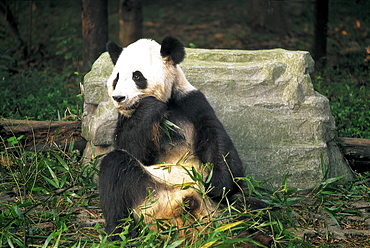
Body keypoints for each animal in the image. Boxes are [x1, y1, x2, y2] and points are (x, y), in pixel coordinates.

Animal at [98, 36, 264, 240]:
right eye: (116, 78)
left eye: (137, 76)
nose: (119, 97)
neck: (167, 100)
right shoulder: (126, 118)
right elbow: (130, 147)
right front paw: (150, 106)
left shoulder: (191, 101)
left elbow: (216, 141)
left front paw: (218, 186)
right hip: (146, 194)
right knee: (115, 167)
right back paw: (119, 234)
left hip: (219, 208)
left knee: (252, 208)